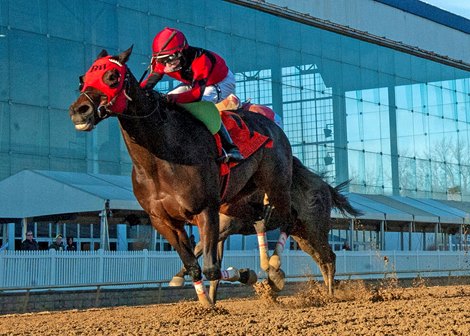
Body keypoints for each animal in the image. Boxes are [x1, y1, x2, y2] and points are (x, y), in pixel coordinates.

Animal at [69, 47, 294, 308]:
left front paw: (241, 277)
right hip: (236, 201)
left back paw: (275, 270)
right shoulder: (163, 220)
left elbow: (211, 268)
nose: (79, 110)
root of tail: (273, 125)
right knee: (259, 218)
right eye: (83, 79)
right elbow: (193, 266)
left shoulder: (206, 210)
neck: (161, 158)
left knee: (288, 219)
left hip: (276, 184)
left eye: (113, 77)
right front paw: (206, 304)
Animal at [171, 156, 362, 292]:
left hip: (315, 228)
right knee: (322, 259)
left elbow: (197, 250)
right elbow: (213, 268)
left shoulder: (224, 228)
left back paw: (330, 293)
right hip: (303, 235)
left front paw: (178, 278)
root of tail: (327, 187)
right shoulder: (222, 234)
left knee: (329, 258)